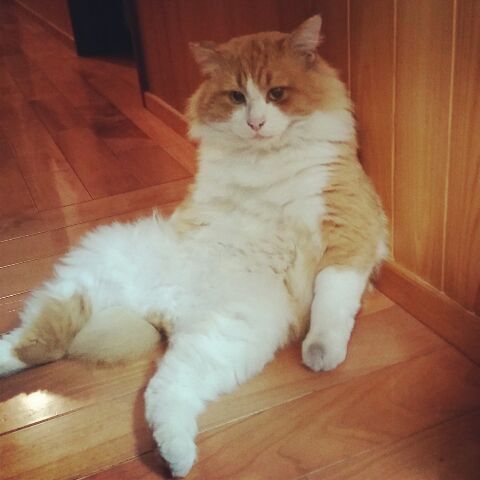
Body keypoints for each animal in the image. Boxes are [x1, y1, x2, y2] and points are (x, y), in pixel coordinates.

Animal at [0, 15, 387, 477]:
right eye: (237, 97)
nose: (256, 123)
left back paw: (177, 457)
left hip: (215, 340)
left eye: (276, 94)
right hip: (91, 283)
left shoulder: (347, 235)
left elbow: (331, 307)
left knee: (159, 393)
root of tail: (161, 314)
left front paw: (320, 353)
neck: (267, 157)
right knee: (32, 343)